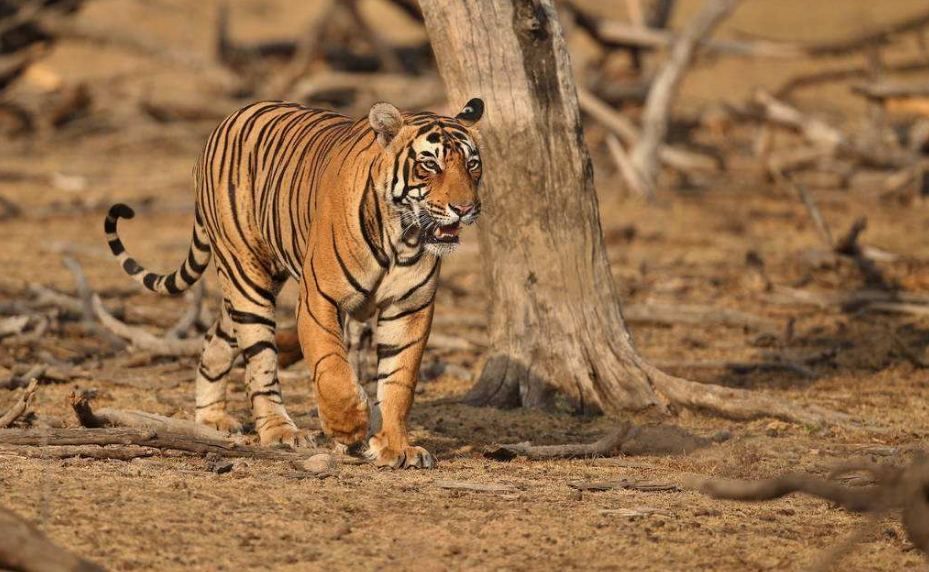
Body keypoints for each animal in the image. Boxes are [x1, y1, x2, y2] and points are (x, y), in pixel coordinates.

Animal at [103, 98, 486, 470]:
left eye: (472, 165)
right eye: (430, 165)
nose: (465, 207)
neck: (403, 234)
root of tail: (226, 121)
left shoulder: (409, 307)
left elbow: (398, 382)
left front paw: (395, 447)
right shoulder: (319, 298)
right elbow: (330, 366)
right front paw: (349, 426)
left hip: (254, 285)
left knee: (216, 338)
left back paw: (212, 418)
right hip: (247, 277)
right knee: (259, 363)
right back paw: (281, 432)